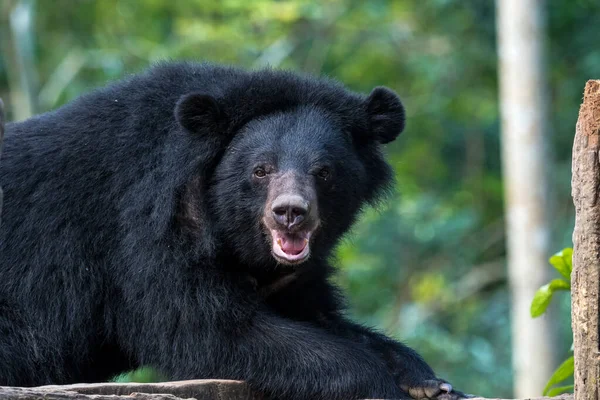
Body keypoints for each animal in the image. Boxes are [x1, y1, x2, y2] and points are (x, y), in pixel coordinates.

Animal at [0, 62, 464, 400]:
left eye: (324, 172)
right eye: (261, 170)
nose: (290, 213)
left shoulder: (292, 276)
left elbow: (319, 316)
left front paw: (429, 381)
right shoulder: (145, 233)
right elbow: (208, 327)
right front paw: (382, 386)